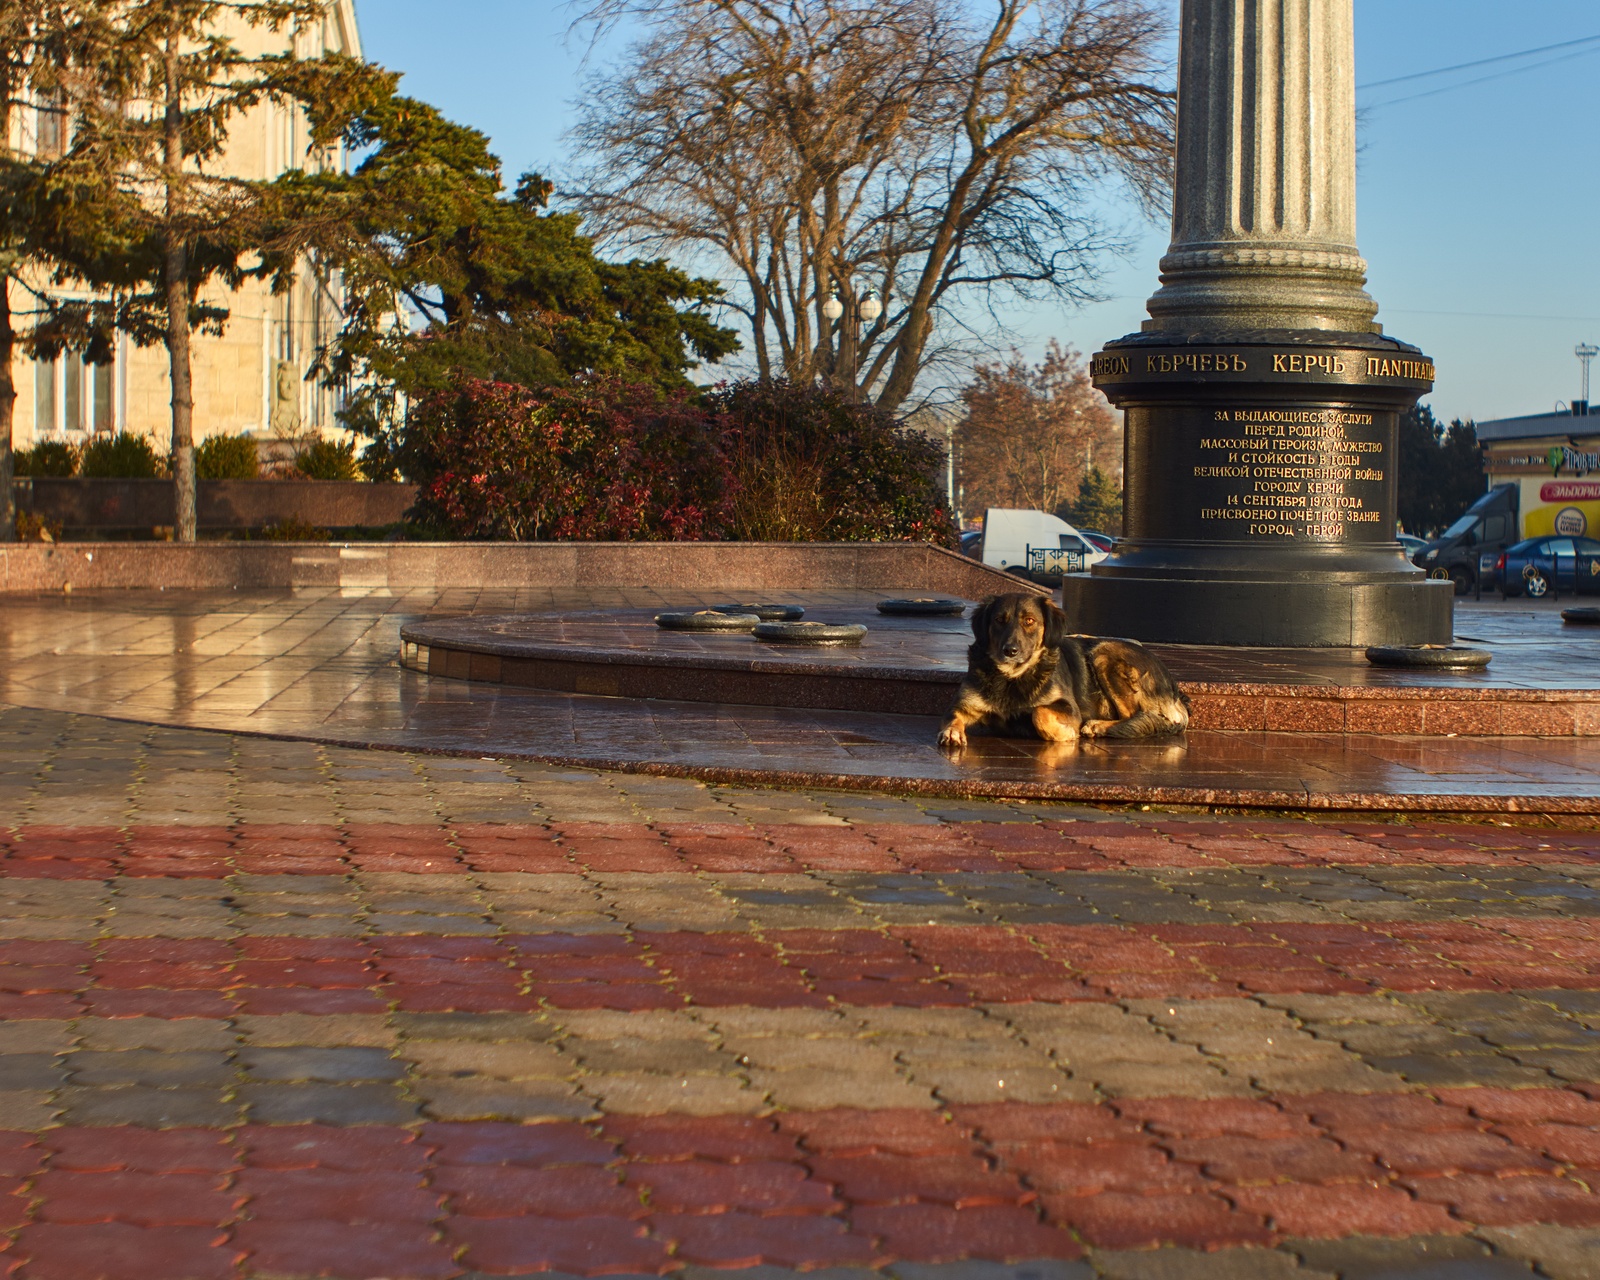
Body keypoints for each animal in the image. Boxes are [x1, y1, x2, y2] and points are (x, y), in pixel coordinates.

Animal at [934, 598, 1190, 755]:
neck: (1013, 677)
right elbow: (951, 718)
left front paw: (1064, 733)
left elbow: (1039, 713)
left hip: (1104, 653)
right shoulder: (961, 706)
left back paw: (1097, 726)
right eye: (999, 620)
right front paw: (952, 732)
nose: (1010, 651)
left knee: (1136, 716)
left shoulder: (1068, 707)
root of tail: (1175, 692)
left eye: (1029, 621)